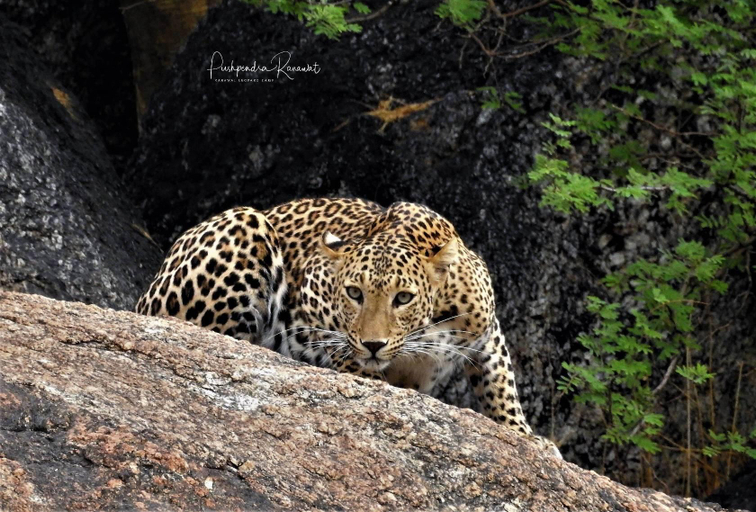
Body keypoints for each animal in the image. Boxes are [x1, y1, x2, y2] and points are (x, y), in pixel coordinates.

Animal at [136, 197, 560, 457]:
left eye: (403, 298)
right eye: (354, 293)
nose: (374, 343)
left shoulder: (487, 330)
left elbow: (500, 386)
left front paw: (526, 437)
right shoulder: (310, 300)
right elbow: (345, 351)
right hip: (244, 223)